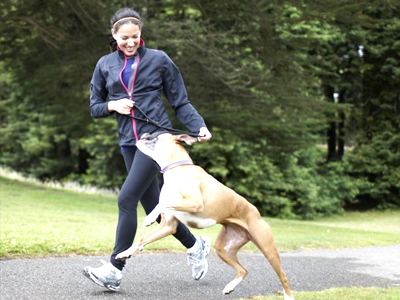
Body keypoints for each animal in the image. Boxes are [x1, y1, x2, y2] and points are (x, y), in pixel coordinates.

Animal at [115, 133, 294, 298]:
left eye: (155, 136)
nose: (143, 135)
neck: (176, 168)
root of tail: (256, 213)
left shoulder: (195, 203)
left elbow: (163, 202)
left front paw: (149, 217)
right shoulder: (168, 226)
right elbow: (142, 238)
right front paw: (126, 252)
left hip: (268, 249)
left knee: (283, 275)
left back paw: (288, 296)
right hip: (224, 249)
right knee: (244, 270)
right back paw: (230, 287)